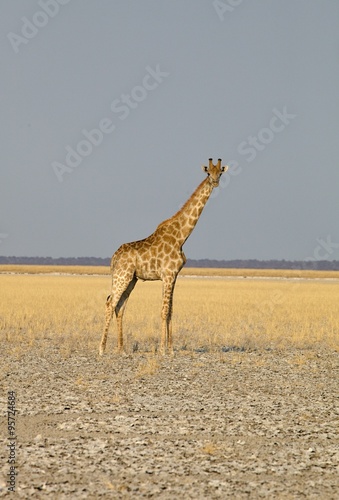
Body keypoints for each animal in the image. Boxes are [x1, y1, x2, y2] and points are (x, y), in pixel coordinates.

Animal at [99, 157, 230, 356]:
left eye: (220, 173)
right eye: (208, 173)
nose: (214, 182)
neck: (181, 236)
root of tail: (114, 257)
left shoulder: (174, 276)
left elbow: (170, 311)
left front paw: (171, 348)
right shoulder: (167, 275)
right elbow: (163, 310)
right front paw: (162, 349)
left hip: (130, 279)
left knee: (119, 307)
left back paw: (121, 349)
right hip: (122, 276)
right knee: (110, 303)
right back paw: (102, 348)